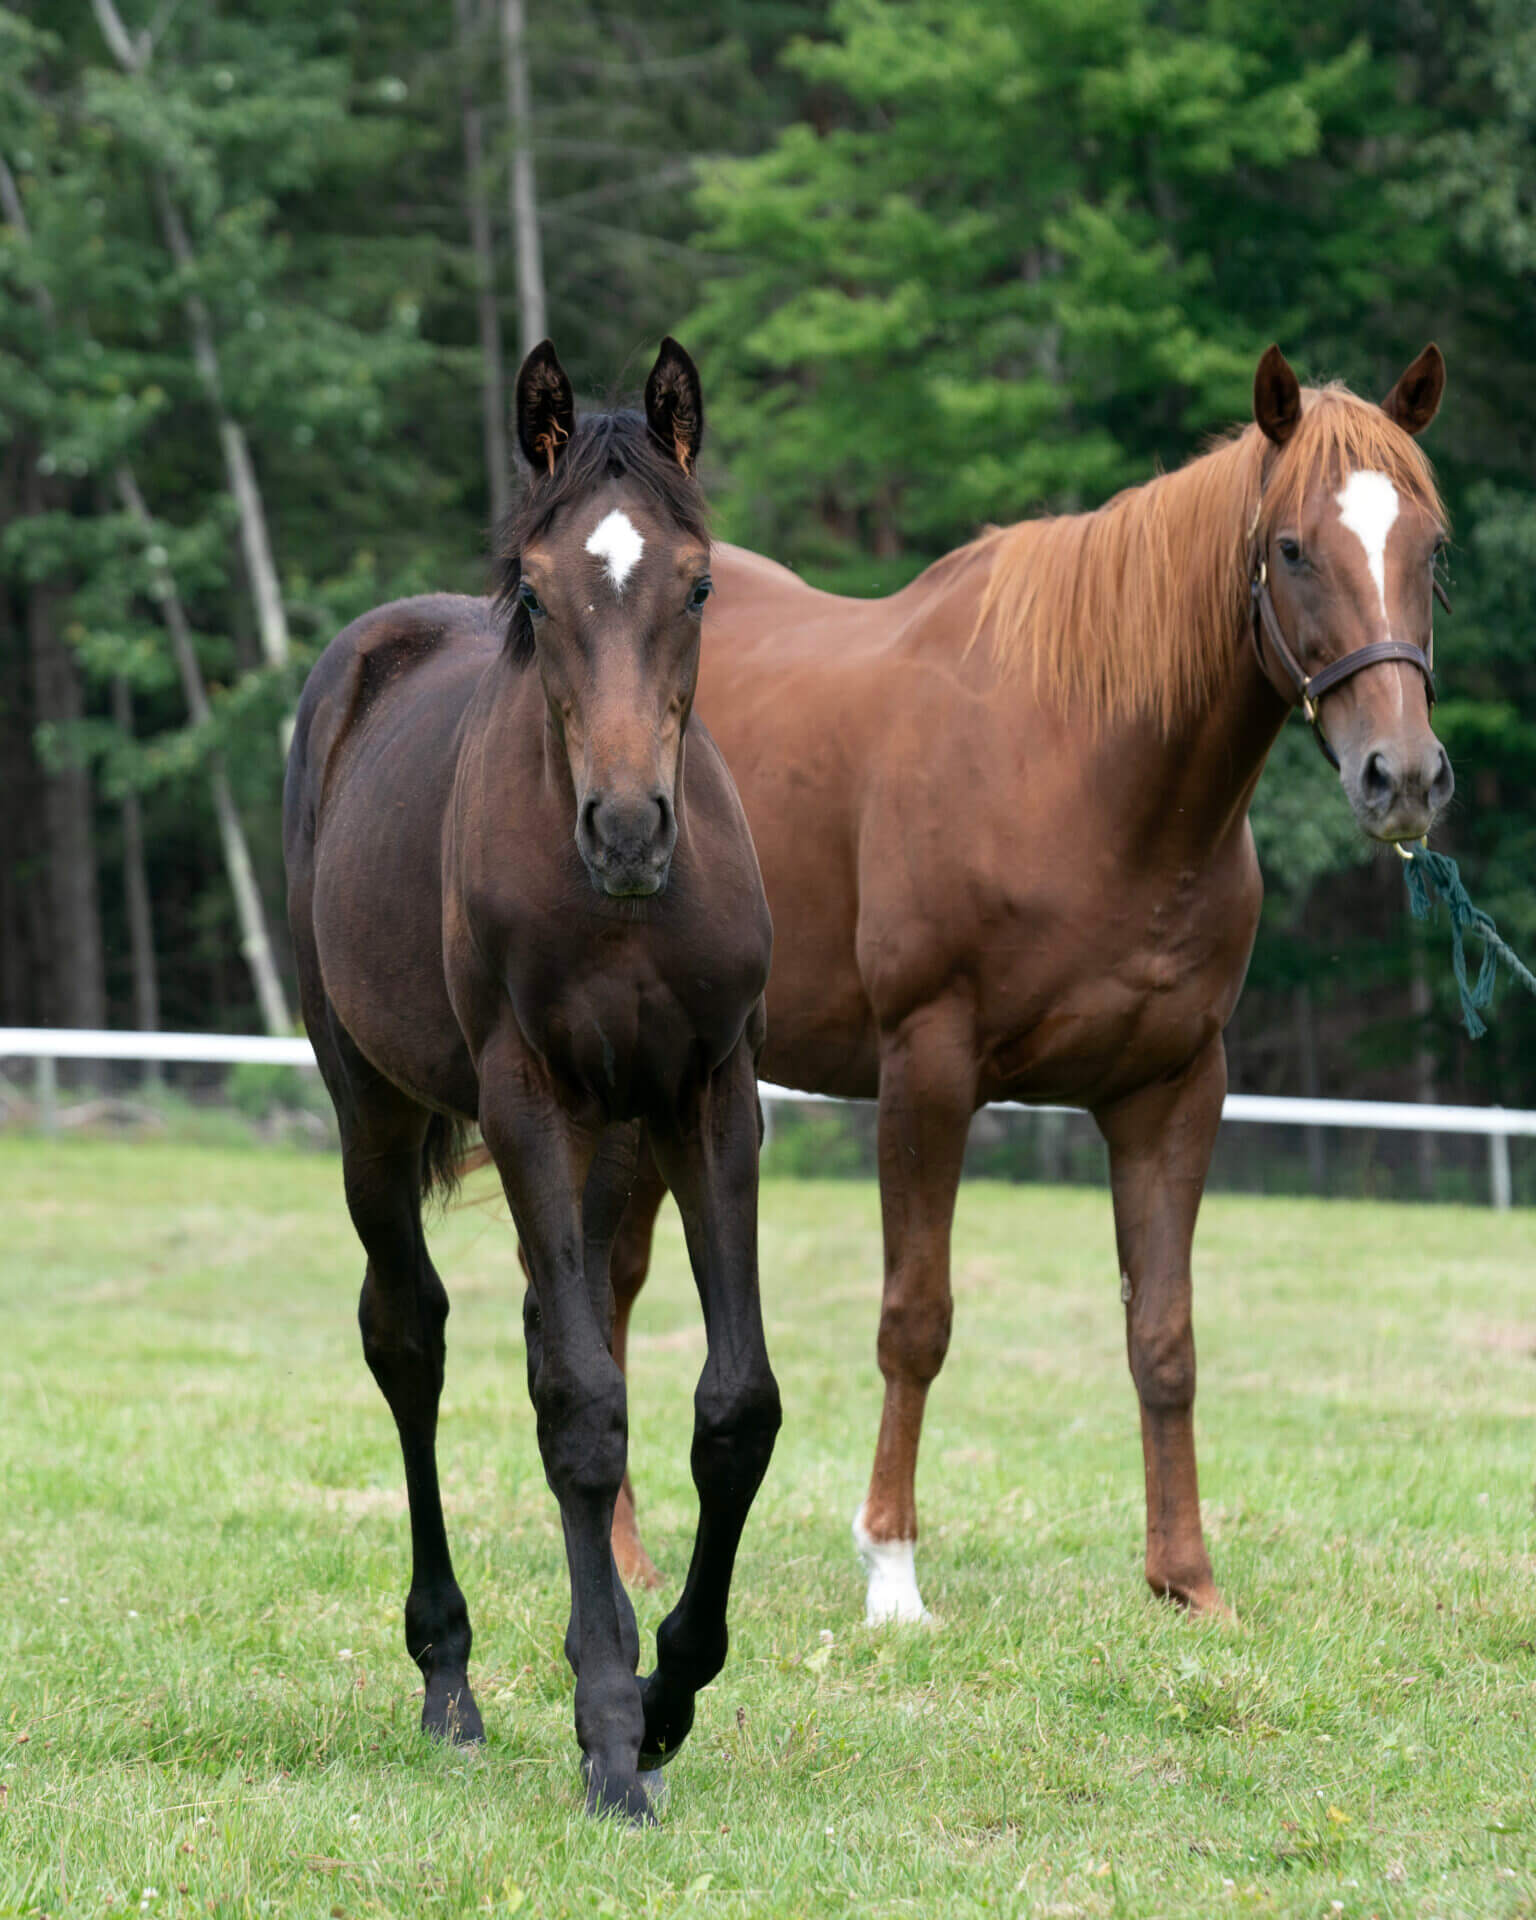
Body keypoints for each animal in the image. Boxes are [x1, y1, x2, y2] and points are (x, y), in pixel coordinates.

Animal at [283, 338, 780, 1820]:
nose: (624, 829)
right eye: (542, 594)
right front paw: (617, 1738)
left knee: (540, 1335)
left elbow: (730, 1408)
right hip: (373, 1102)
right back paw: (449, 1677)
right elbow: (583, 1409)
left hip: (613, 1140)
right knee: (412, 1338)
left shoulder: (708, 1092)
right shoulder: (524, 1099)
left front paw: (666, 1694)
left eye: (698, 583)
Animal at [597, 343, 1454, 1625]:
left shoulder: (1172, 1090)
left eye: (1431, 548)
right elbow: (916, 1320)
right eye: (1295, 548)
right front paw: (893, 1576)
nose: (1401, 777)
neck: (1088, 770)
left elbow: (1165, 1335)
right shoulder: (931, 1069)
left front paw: (1187, 1580)